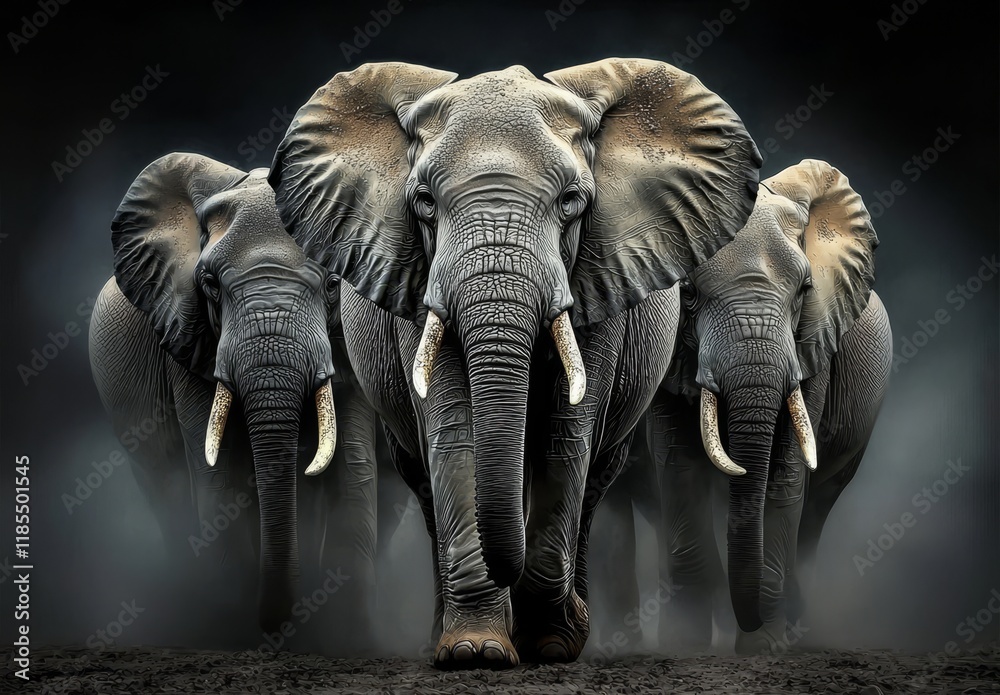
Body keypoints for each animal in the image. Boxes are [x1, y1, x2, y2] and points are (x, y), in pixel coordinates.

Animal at [89, 154, 346, 634]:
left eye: (333, 284)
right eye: (209, 284)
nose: (273, 623)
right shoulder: (187, 336)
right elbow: (219, 475)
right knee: (166, 483)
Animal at [268, 58, 761, 667]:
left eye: (572, 201)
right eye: (425, 203)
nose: (573, 621)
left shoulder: (599, 278)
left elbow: (566, 436)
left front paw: (550, 644)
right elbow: (454, 433)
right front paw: (474, 652)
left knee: (595, 479)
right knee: (424, 482)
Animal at [641, 159, 892, 653]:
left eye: (804, 291)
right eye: (688, 294)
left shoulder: (814, 348)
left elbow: (787, 475)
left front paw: (764, 650)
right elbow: (679, 471)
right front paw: (684, 647)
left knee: (816, 512)